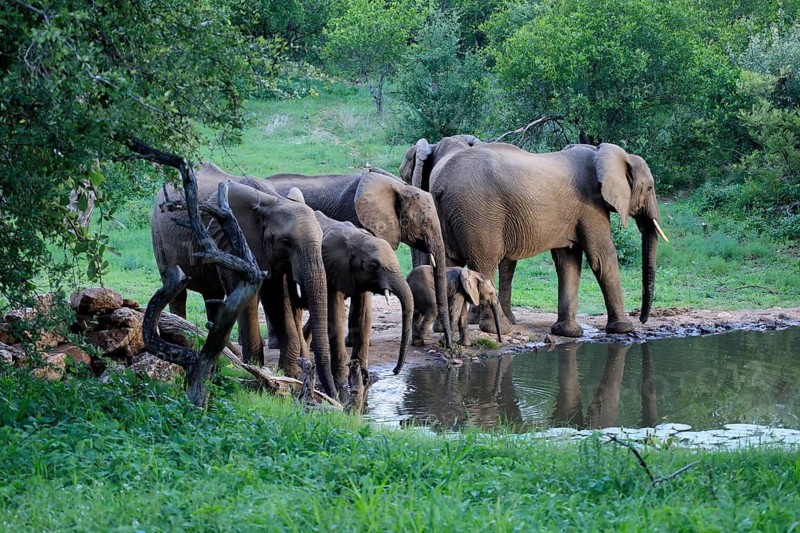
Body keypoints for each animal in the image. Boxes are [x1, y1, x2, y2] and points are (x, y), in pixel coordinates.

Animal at [151, 163, 337, 396]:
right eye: (285, 241)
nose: (335, 395)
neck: (273, 202)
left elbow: (278, 300)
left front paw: (288, 376)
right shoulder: (233, 241)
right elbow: (249, 299)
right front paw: (255, 372)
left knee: (212, 295)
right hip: (158, 234)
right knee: (177, 292)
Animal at [313, 210, 413, 388]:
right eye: (373, 266)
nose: (395, 371)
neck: (357, 237)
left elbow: (363, 315)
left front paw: (363, 376)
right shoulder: (331, 269)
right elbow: (336, 315)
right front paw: (341, 383)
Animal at [401, 139, 669, 338]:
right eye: (649, 188)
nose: (643, 318)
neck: (604, 154)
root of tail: (440, 184)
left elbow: (568, 262)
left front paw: (567, 333)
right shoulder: (591, 207)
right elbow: (601, 258)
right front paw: (624, 329)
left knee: (449, 263)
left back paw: (444, 328)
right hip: (478, 214)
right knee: (484, 262)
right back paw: (500, 330)